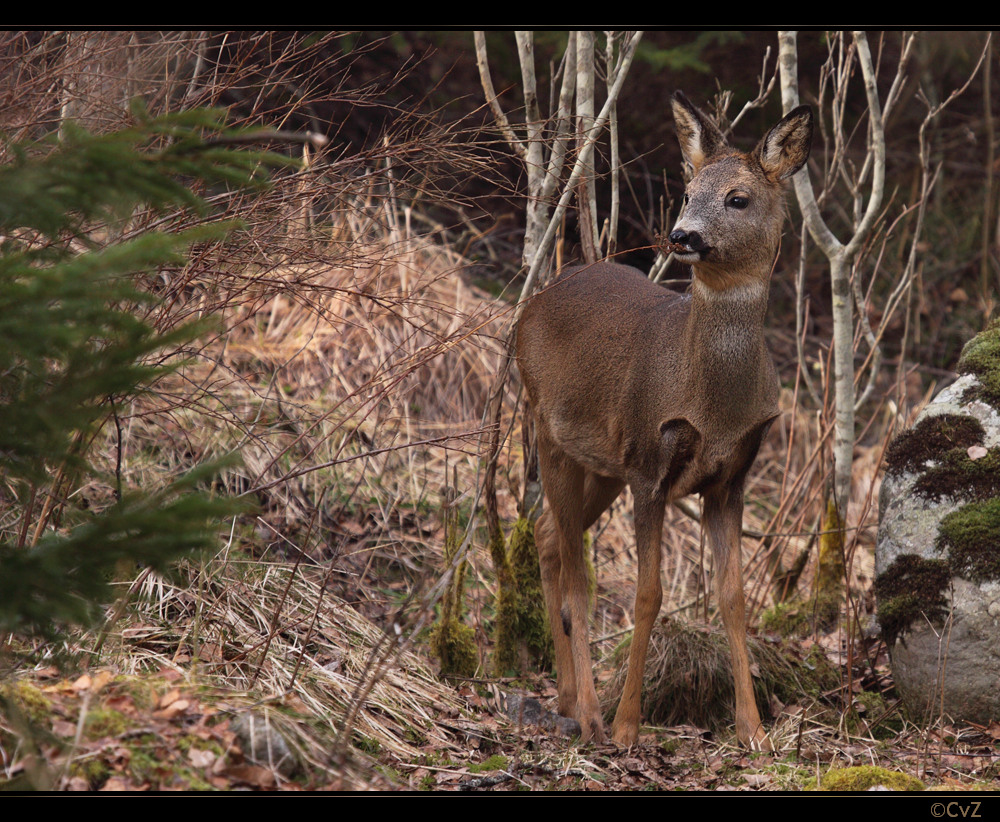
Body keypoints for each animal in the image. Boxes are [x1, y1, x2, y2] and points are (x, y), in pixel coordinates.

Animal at [516, 93, 812, 748]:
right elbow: (648, 594)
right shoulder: (651, 466)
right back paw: (591, 715)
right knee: (576, 572)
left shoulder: (729, 479)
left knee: (547, 536)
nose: (682, 235)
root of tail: (534, 300)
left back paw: (568, 700)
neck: (712, 403)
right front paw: (629, 726)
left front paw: (753, 730)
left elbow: (733, 598)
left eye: (737, 198)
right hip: (549, 428)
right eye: (687, 190)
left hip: (602, 463)